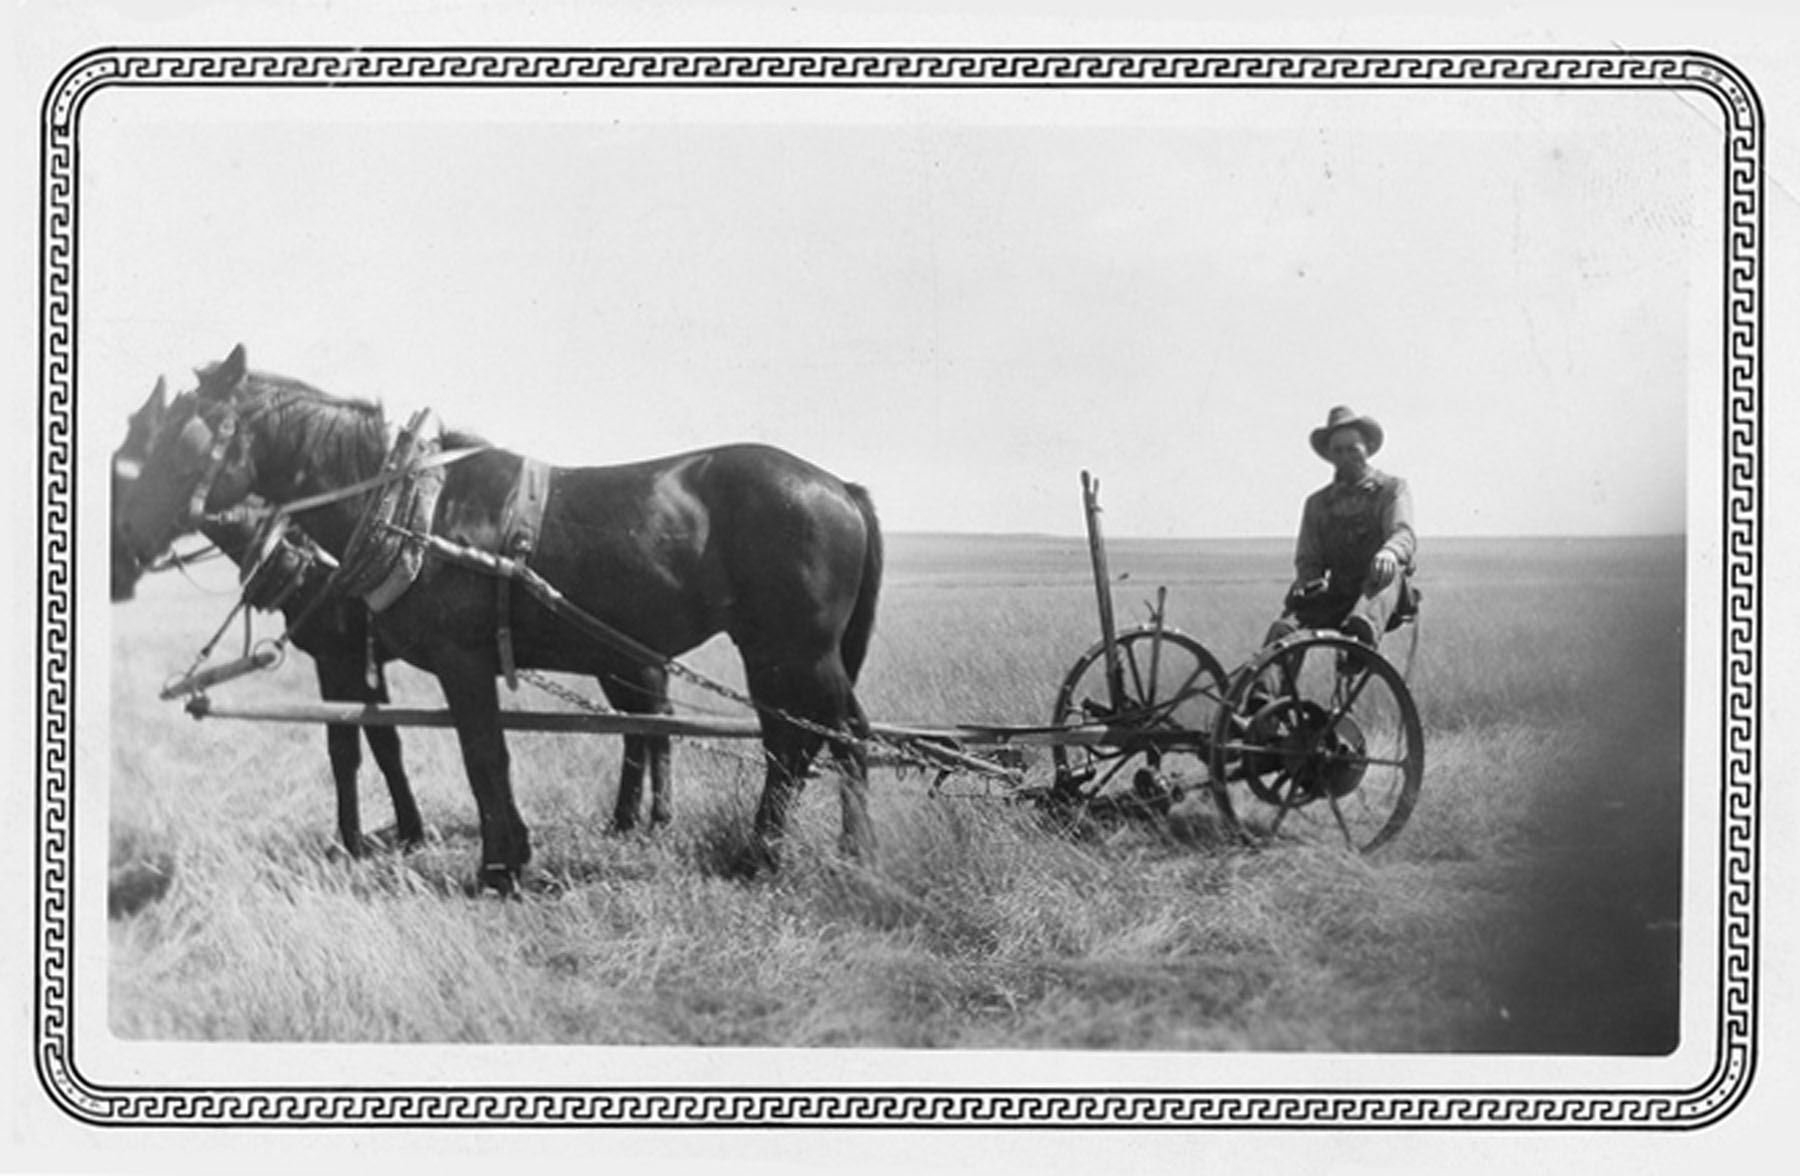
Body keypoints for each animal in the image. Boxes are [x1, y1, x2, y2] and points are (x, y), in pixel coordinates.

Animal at [111, 376, 424, 853]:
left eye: (125, 474)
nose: (117, 570)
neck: (309, 557)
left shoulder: (345, 658)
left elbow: (363, 744)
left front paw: (377, 838)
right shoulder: (344, 663)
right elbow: (360, 741)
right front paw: (375, 835)